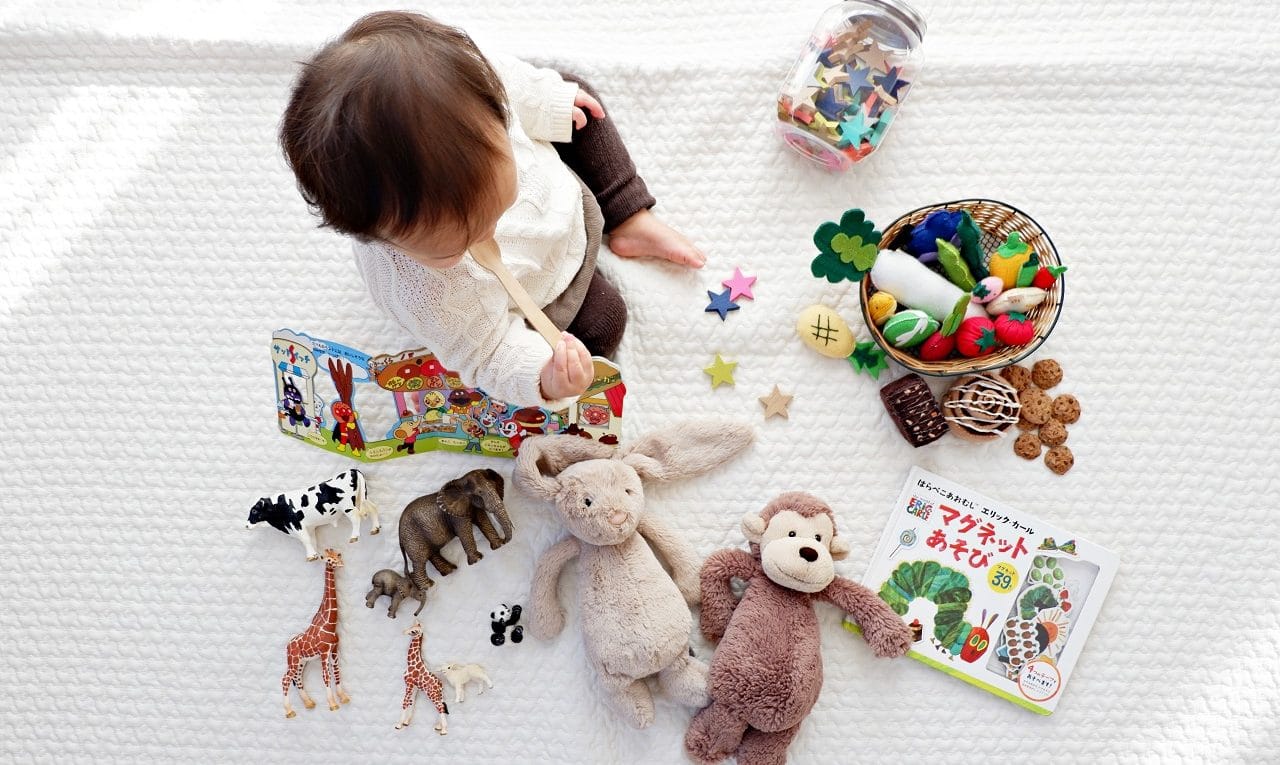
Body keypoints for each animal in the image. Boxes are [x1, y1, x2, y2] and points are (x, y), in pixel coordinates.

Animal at [241, 468, 376, 562]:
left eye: (254, 511)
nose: (246, 526)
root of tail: (352, 470)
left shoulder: (297, 524)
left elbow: (305, 540)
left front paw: (311, 557)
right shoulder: (309, 528)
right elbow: (311, 540)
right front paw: (316, 555)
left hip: (347, 506)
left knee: (356, 517)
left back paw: (354, 536)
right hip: (362, 498)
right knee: (373, 508)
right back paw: (375, 529)